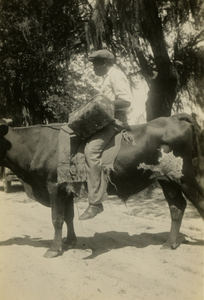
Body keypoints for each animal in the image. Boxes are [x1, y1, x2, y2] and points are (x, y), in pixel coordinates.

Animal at [0, 115, 203, 258]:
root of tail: (173, 117)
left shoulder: (53, 186)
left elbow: (56, 218)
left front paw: (54, 249)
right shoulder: (67, 190)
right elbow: (68, 216)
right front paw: (70, 241)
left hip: (185, 177)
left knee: (198, 203)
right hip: (166, 180)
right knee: (177, 207)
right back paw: (170, 243)